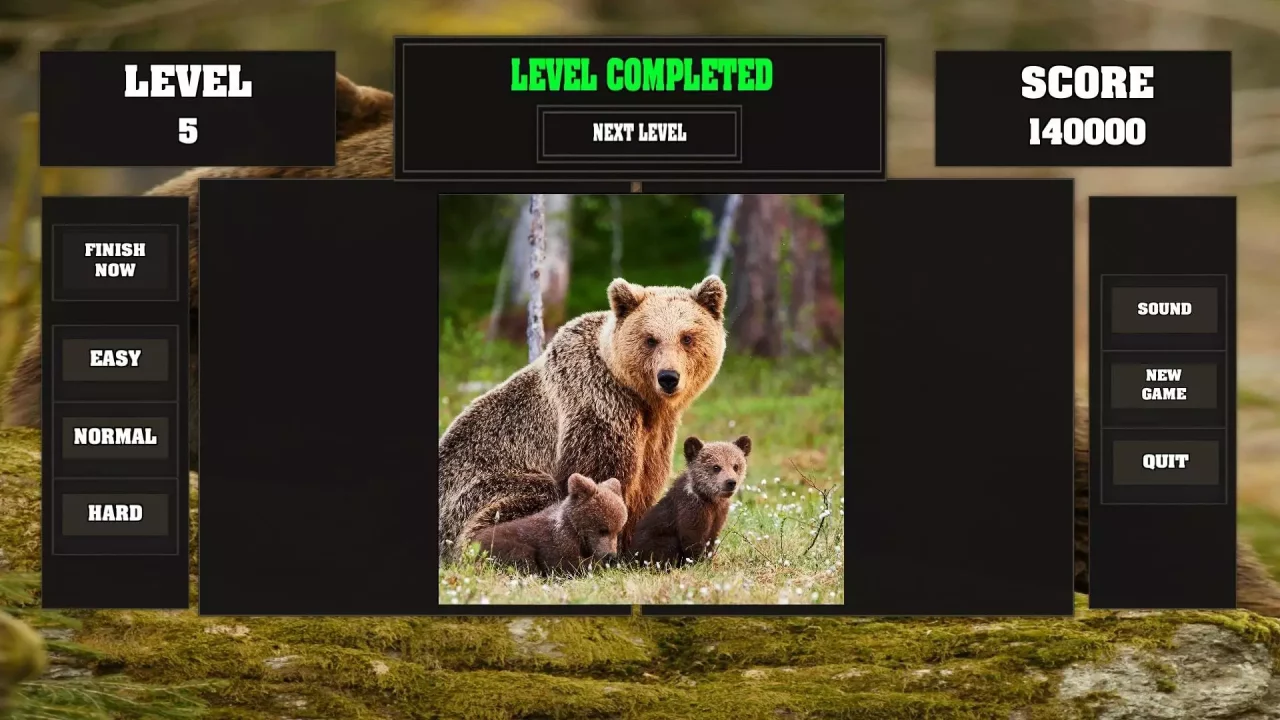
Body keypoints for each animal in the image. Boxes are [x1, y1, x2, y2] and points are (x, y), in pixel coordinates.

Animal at [438, 275, 729, 561]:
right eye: (650, 339)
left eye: (687, 337)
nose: (668, 377)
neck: (639, 397)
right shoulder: (598, 406)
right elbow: (600, 477)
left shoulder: (656, 433)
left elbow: (646, 483)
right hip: (475, 490)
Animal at [629, 435, 750, 568]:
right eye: (716, 467)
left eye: (736, 466)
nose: (731, 482)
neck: (709, 499)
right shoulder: (691, 511)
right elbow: (692, 541)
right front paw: (697, 563)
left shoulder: (718, 514)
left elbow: (711, 539)